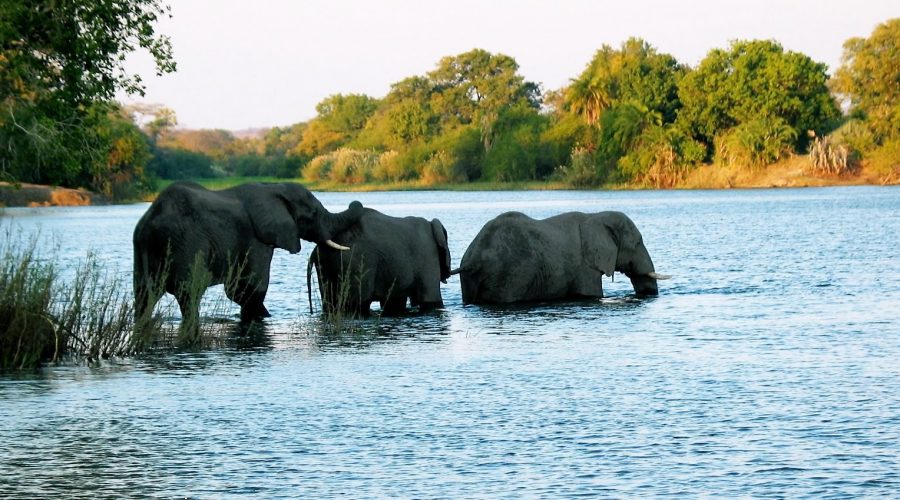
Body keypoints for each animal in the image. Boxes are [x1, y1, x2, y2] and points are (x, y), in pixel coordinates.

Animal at [132, 182, 364, 326]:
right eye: (314, 213)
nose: (355, 202)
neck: (272, 188)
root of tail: (150, 222)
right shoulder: (255, 239)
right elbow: (249, 287)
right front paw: (262, 317)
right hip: (186, 244)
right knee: (189, 294)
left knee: (144, 295)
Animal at [450, 209, 668, 302]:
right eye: (637, 243)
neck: (595, 216)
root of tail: (473, 259)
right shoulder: (585, 267)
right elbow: (590, 294)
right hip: (508, 275)